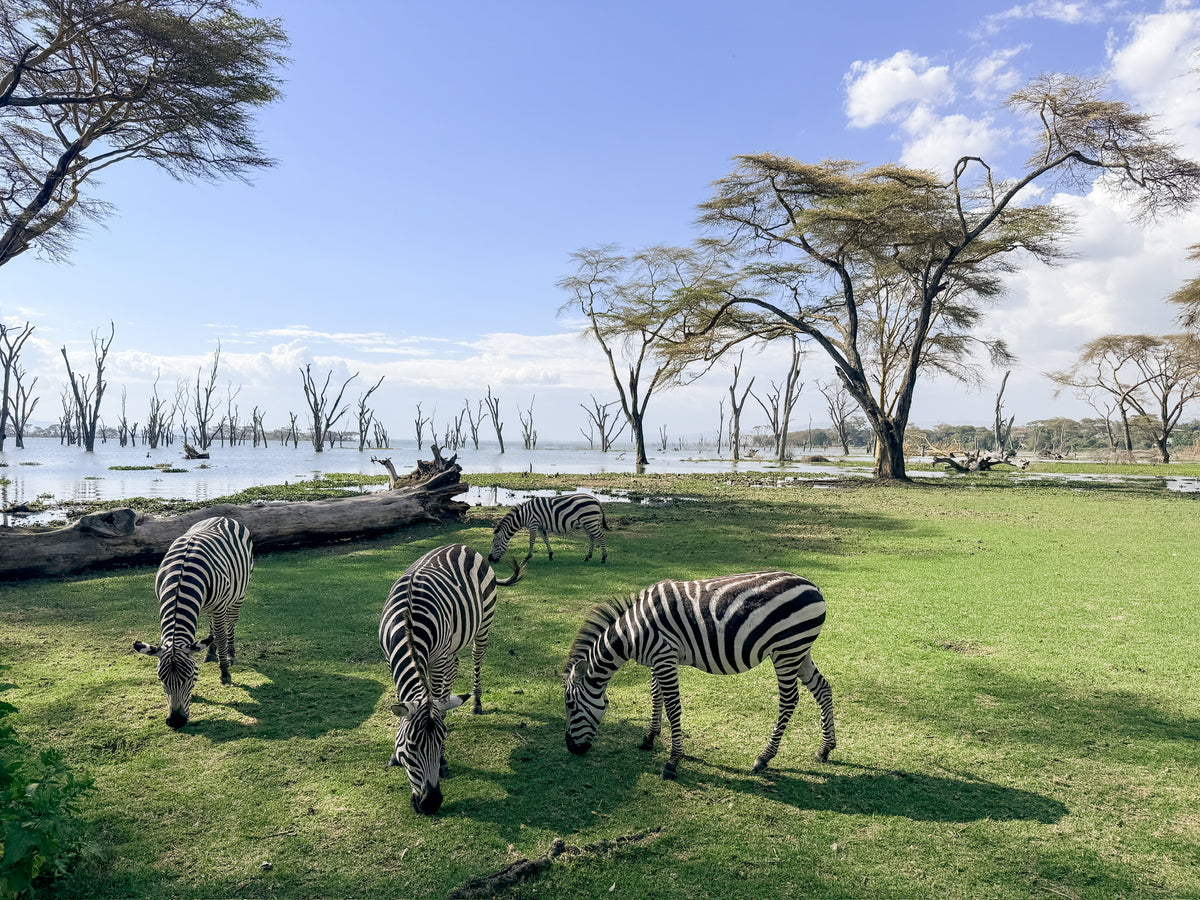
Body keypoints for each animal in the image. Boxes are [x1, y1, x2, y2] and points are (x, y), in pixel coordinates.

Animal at [133, 516, 254, 729]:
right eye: (161, 678)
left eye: (189, 676)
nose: (175, 721)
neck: (181, 577)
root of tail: (223, 517)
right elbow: (212, 634)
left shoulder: (219, 606)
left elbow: (221, 636)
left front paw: (224, 673)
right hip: (209, 607)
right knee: (213, 627)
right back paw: (210, 652)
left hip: (237, 595)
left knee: (230, 624)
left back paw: (230, 654)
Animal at [379, 543, 523, 815]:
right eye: (411, 748)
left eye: (441, 742)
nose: (431, 804)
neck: (407, 622)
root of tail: (462, 546)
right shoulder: (391, 658)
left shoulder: (437, 659)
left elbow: (435, 697)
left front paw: (444, 759)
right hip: (453, 644)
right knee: (454, 668)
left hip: (482, 625)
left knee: (476, 660)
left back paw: (476, 702)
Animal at [563, 570, 835, 780]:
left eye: (570, 705)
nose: (571, 748)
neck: (633, 632)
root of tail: (813, 586)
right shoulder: (659, 658)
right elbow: (655, 696)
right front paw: (650, 737)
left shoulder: (665, 656)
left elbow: (673, 708)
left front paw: (672, 761)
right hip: (799, 650)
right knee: (823, 688)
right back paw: (825, 748)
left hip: (786, 651)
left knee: (789, 701)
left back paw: (764, 757)